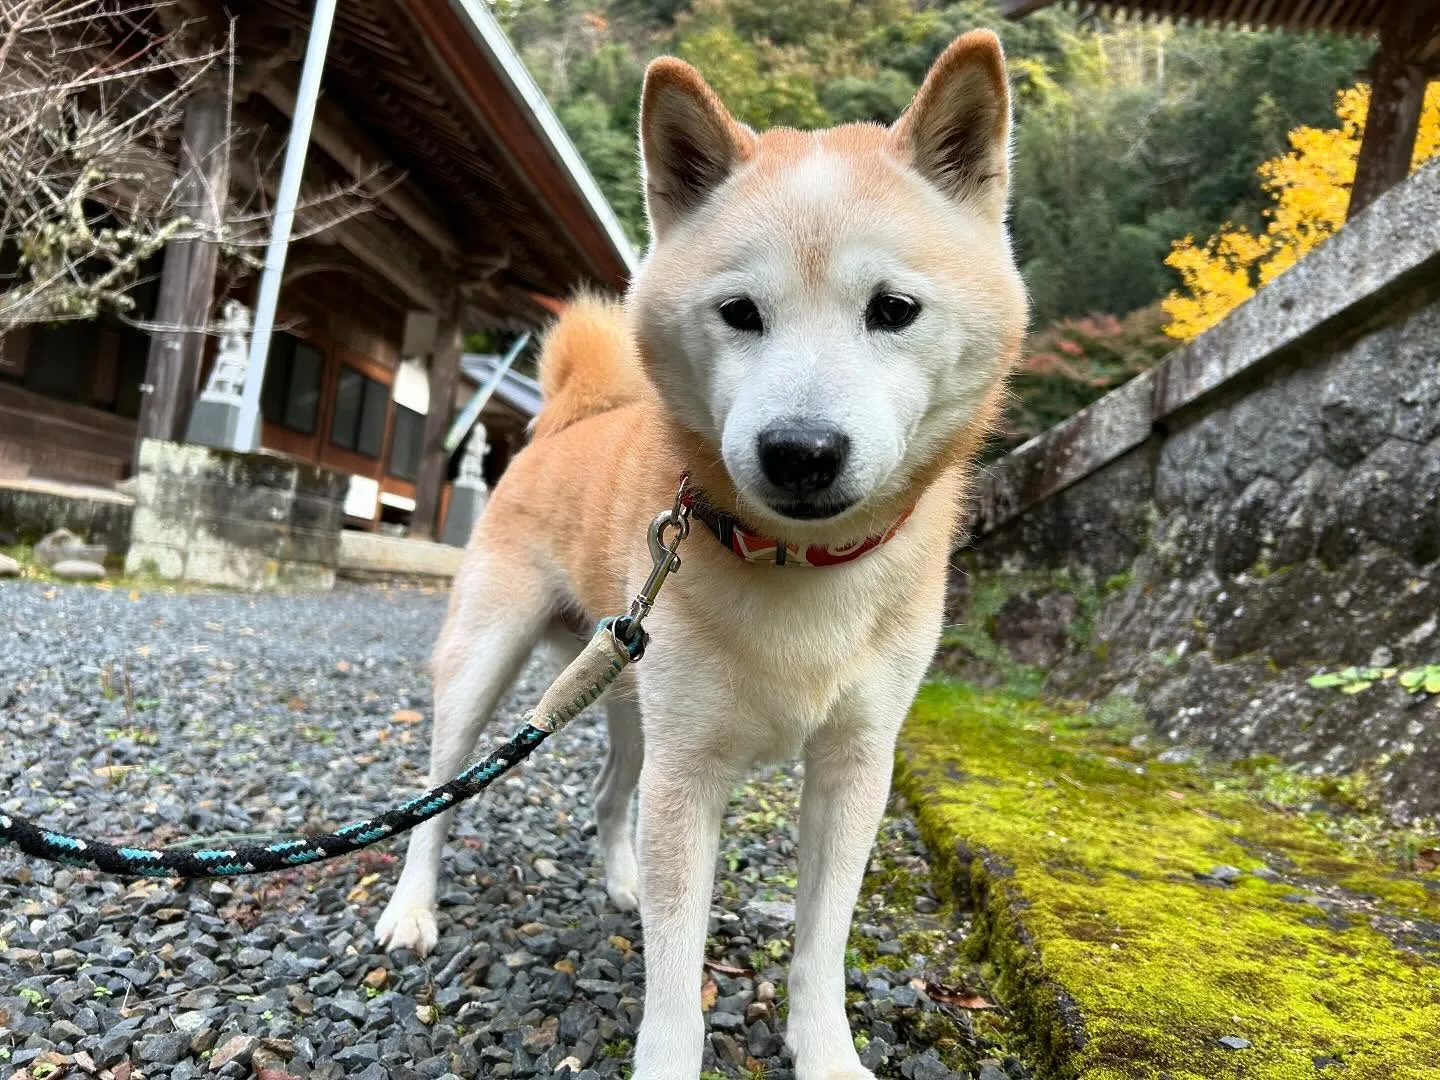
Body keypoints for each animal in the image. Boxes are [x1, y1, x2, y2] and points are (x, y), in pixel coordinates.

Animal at [377, 29, 1031, 1077]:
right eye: (739, 312)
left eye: (893, 309)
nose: (800, 450)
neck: (801, 565)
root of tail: (571, 415)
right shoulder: (689, 774)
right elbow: (676, 973)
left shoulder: (854, 765)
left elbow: (821, 947)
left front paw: (828, 1053)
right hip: (487, 664)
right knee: (435, 798)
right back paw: (411, 911)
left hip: (630, 687)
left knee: (610, 795)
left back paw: (619, 883)